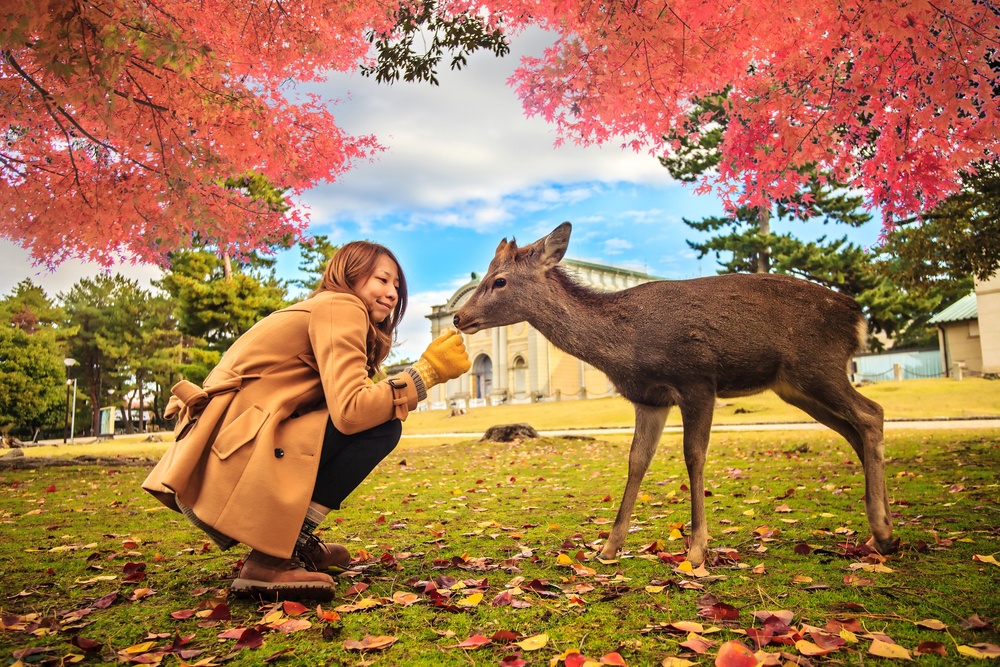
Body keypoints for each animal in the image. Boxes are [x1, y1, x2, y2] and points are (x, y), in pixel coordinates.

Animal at [454, 223, 900, 564]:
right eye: (487, 275)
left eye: (500, 280)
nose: (458, 316)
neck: (625, 344)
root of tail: (858, 316)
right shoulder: (649, 399)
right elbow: (637, 460)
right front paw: (609, 547)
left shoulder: (697, 381)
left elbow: (693, 456)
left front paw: (697, 549)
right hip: (795, 386)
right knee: (854, 429)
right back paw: (884, 533)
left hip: (818, 366)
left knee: (872, 413)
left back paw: (881, 528)